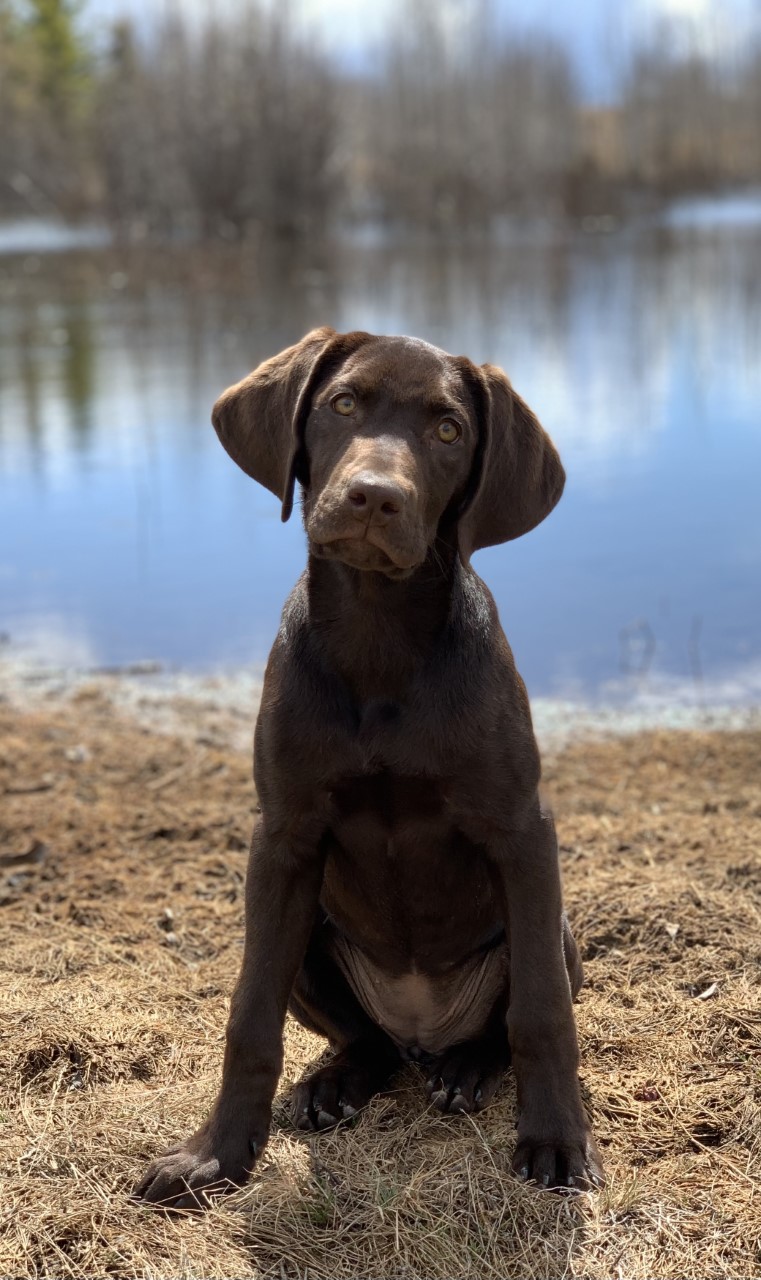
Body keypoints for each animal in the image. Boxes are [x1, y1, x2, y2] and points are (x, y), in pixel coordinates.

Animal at [134, 327, 603, 1208]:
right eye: (343, 404)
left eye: (448, 430)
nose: (375, 497)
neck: (379, 639)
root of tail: (422, 1032)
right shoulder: (281, 839)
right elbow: (250, 1015)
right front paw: (214, 1154)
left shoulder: (523, 830)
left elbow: (540, 1015)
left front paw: (556, 1140)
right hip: (313, 934)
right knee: (367, 1041)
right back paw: (336, 1082)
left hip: (553, 930)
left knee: (503, 1018)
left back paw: (465, 1068)